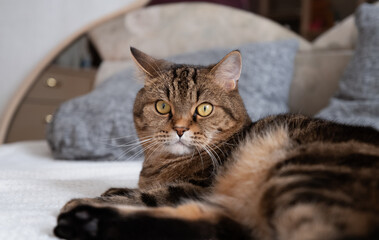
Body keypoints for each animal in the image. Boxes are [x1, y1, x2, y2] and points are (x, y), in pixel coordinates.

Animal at [54, 47, 379, 240]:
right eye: (162, 106)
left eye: (204, 108)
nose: (180, 129)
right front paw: (112, 191)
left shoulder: (199, 188)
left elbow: (147, 196)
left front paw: (98, 198)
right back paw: (88, 223)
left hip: (299, 175)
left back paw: (85, 216)